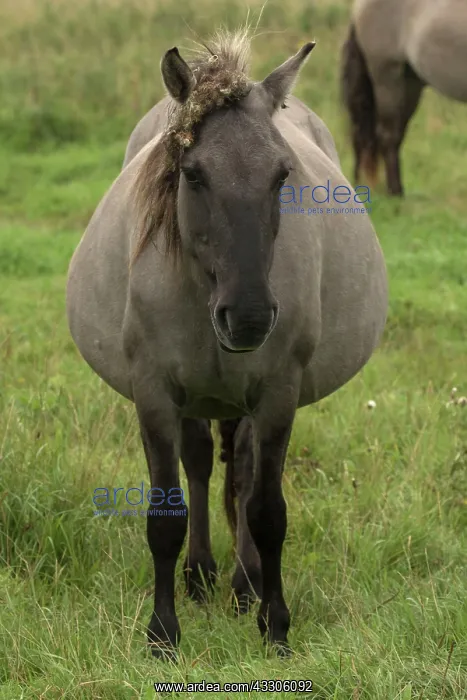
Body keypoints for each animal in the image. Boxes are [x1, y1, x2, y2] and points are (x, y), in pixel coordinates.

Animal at [66, 29, 388, 659]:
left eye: (282, 175)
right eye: (193, 174)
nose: (248, 317)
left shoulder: (277, 395)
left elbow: (266, 512)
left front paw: (275, 625)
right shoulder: (155, 395)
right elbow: (165, 515)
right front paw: (163, 634)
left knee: (240, 472)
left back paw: (244, 585)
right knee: (199, 463)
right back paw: (199, 577)